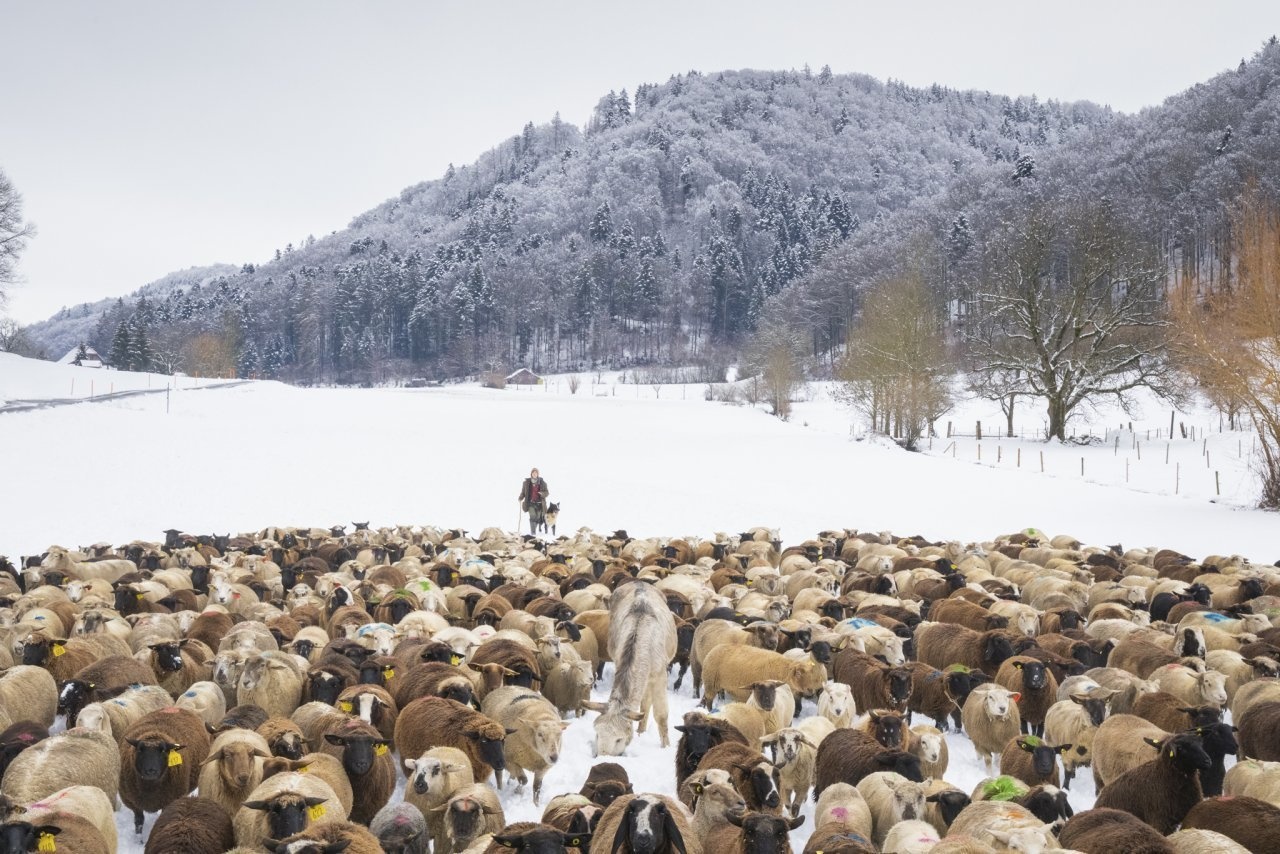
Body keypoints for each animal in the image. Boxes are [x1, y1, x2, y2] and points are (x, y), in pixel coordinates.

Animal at [120, 706, 213, 835]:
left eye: (163, 751)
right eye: (140, 749)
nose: (151, 771)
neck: (149, 788)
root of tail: (178, 707)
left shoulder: (169, 801)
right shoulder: (132, 802)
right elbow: (139, 822)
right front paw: (138, 837)